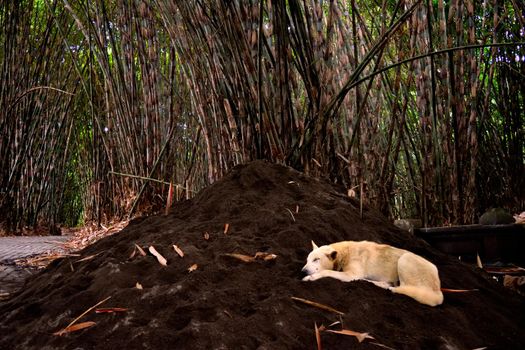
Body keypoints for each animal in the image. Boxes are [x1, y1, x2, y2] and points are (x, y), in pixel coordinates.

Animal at [300, 241, 444, 306]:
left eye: (316, 259)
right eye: (307, 260)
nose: (303, 271)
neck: (344, 253)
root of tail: (438, 291)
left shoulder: (351, 275)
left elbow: (326, 271)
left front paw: (311, 277)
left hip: (405, 259)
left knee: (401, 287)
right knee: (388, 284)